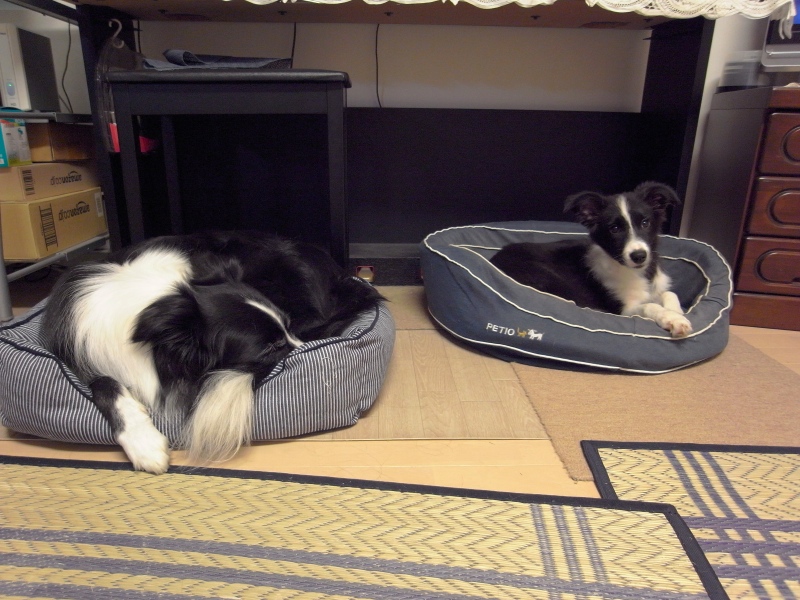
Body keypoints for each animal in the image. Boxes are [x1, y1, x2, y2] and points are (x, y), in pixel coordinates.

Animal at [41, 230, 384, 474]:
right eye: (270, 347)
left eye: (285, 330)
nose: (302, 351)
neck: (156, 304)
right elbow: (104, 384)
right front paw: (144, 444)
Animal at [490, 182, 692, 338]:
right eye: (614, 229)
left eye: (645, 223)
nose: (639, 256)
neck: (637, 272)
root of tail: (495, 258)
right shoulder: (622, 310)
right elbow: (650, 305)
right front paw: (673, 319)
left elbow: (668, 293)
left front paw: (676, 311)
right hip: (548, 278)